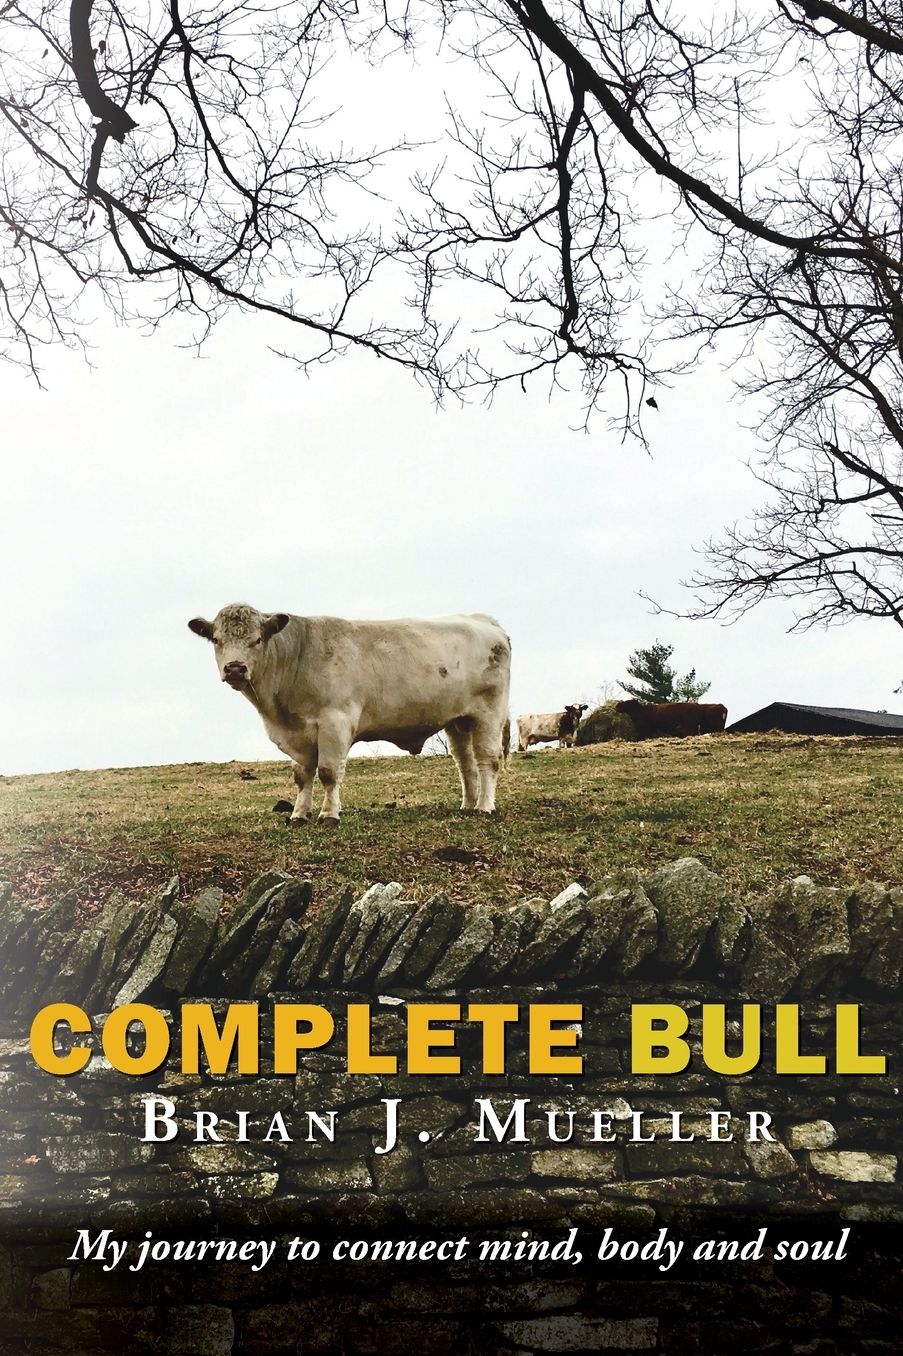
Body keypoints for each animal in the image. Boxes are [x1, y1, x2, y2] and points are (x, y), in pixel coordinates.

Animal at [188, 603, 511, 823]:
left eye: (257, 639)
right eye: (216, 640)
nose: (235, 668)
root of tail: (483, 620)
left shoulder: (335, 722)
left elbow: (328, 772)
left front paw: (329, 815)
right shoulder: (299, 735)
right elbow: (302, 776)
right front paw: (299, 814)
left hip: (489, 714)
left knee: (488, 760)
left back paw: (485, 807)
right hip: (458, 720)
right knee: (465, 763)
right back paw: (468, 805)